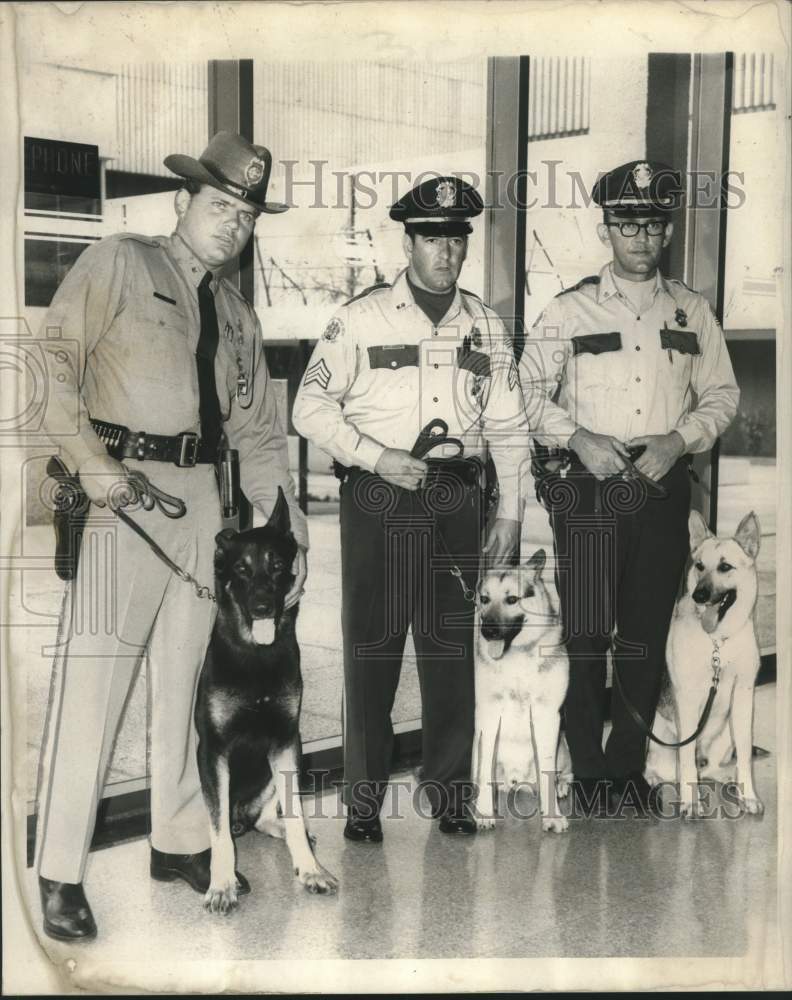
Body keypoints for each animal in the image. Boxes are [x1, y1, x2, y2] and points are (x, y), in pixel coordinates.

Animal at [196, 486, 338, 916]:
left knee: (269, 817)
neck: (256, 655)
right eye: (241, 569)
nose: (262, 607)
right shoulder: (213, 752)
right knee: (224, 824)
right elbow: (218, 832)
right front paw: (222, 883)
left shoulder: (286, 742)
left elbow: (293, 812)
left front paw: (310, 870)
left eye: (277, 565)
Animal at [474, 552, 572, 832]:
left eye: (512, 599)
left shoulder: (547, 716)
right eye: (484, 599)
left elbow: (547, 770)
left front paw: (552, 815)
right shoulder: (488, 715)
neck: (515, 654)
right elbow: (484, 768)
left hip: (563, 746)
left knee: (561, 773)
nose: (488, 631)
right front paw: (484, 812)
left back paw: (561, 786)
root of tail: (517, 781)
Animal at [648, 512, 764, 816]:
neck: (718, 642)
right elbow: (686, 758)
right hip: (658, 732)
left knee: (711, 768)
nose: (699, 595)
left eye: (725, 567)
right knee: (668, 766)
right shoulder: (687, 701)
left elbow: (745, 754)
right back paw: (657, 779)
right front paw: (690, 801)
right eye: (699, 566)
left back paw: (728, 780)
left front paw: (748, 793)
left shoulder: (744, 696)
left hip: (726, 732)